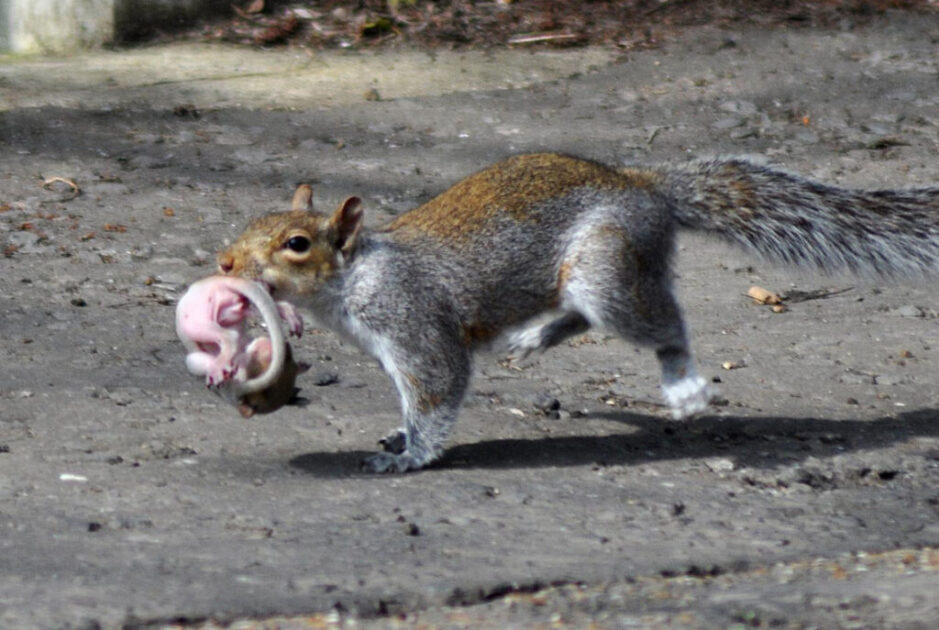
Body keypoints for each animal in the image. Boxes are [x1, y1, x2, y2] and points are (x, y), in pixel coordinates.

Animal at [216, 153, 939, 473]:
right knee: (577, 315)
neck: (358, 276)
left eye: (297, 244)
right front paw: (396, 437)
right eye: (249, 224)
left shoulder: (415, 324)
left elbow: (438, 389)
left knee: (660, 324)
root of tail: (647, 191)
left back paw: (683, 383)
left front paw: (409, 456)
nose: (223, 264)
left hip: (607, 271)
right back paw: (538, 335)